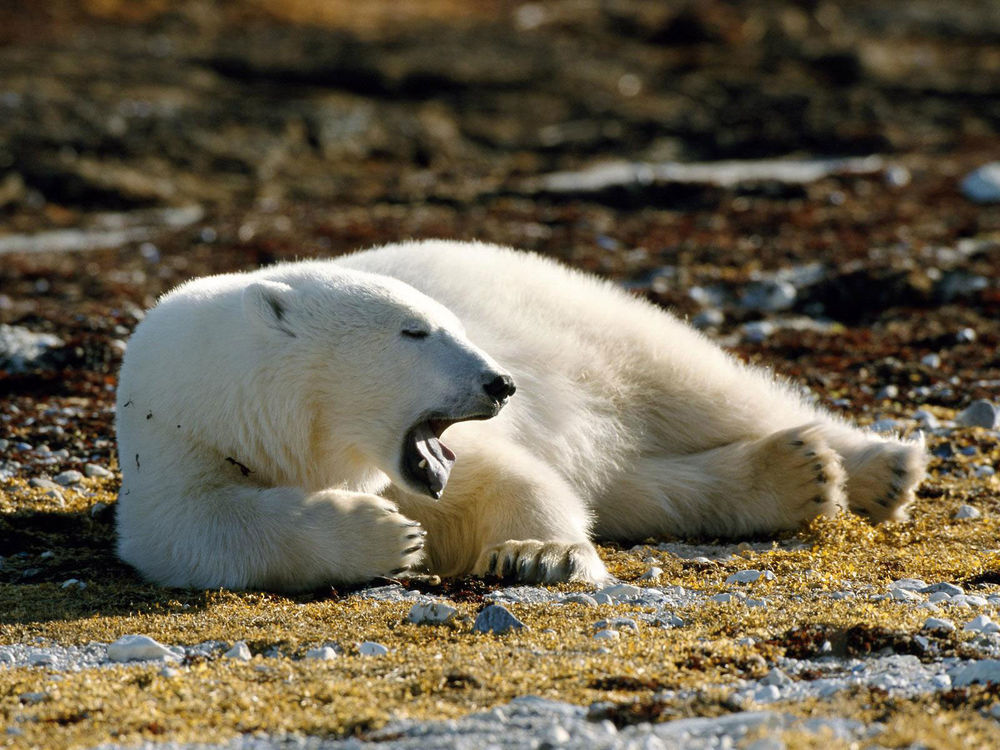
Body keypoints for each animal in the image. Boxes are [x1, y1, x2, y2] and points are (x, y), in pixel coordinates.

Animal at [116, 240, 927, 591]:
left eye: (449, 322)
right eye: (415, 331)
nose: (500, 383)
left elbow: (512, 482)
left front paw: (537, 555)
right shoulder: (179, 447)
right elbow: (198, 532)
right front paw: (385, 537)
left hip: (589, 322)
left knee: (703, 386)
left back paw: (878, 466)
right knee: (640, 486)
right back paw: (794, 474)